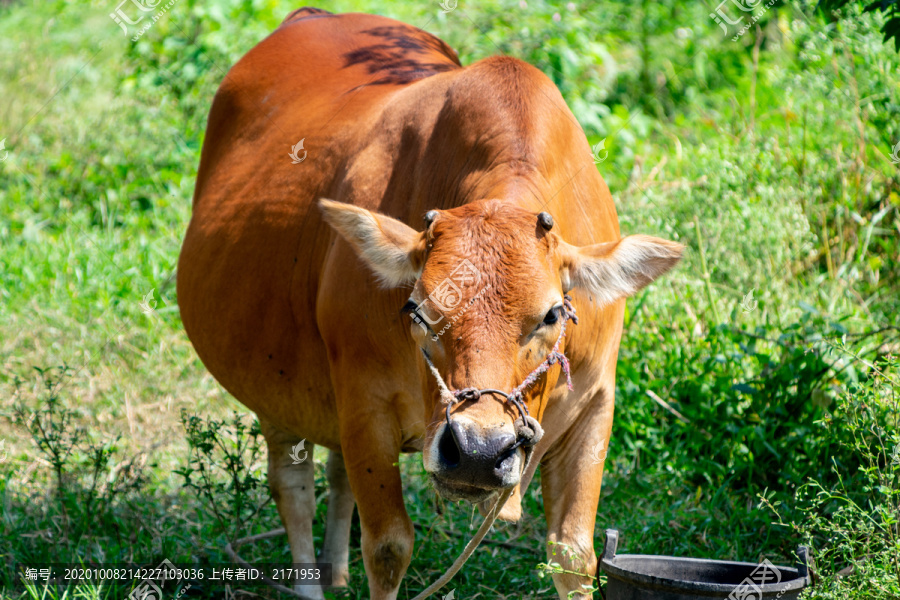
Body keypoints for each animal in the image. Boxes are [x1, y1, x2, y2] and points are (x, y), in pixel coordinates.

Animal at [178, 5, 684, 600]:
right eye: (418, 310)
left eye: (553, 314)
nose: (479, 451)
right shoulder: (365, 406)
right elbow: (388, 547)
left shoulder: (596, 402)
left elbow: (574, 555)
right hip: (274, 389)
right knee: (293, 487)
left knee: (334, 476)